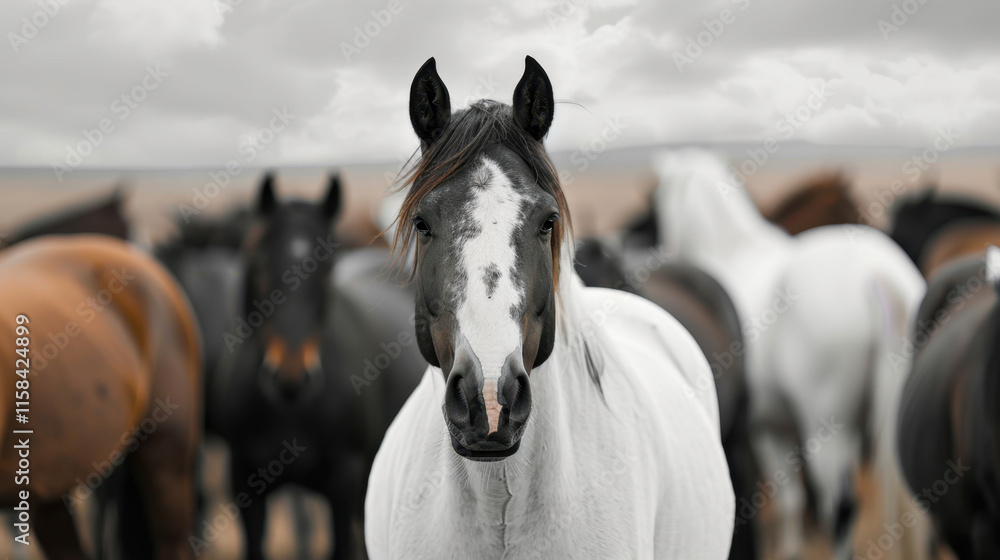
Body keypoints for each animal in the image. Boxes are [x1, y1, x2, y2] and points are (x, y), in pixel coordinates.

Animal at [653, 148, 929, 560]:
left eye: (657, 202)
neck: (733, 252)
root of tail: (878, 272)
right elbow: (794, 500)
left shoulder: (765, 429)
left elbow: (786, 499)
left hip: (827, 433)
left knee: (842, 508)